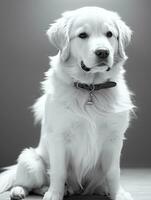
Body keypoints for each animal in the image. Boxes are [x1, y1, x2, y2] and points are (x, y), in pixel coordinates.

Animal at [0, 6, 135, 200]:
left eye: (110, 34)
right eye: (82, 35)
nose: (103, 52)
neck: (90, 88)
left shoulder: (114, 137)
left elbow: (112, 172)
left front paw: (118, 193)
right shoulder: (59, 136)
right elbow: (58, 171)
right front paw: (54, 194)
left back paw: (100, 189)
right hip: (30, 160)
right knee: (27, 183)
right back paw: (25, 191)